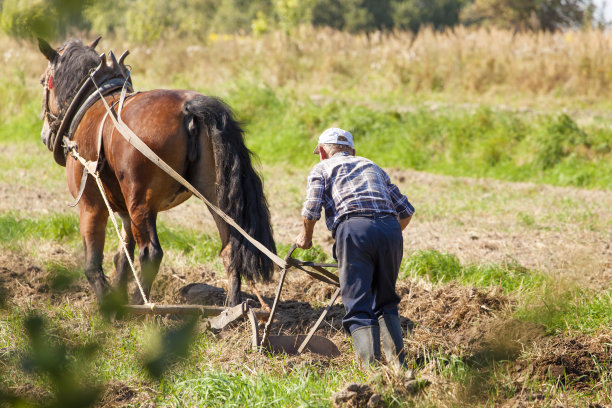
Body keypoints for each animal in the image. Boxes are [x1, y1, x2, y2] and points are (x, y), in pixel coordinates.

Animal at [37, 38, 276, 306]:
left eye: (43, 81)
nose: (45, 133)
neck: (91, 104)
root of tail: (189, 108)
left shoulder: (91, 204)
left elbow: (93, 263)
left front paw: (108, 302)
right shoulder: (124, 211)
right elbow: (123, 257)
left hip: (141, 202)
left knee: (151, 253)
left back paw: (141, 303)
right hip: (215, 198)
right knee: (231, 248)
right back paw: (232, 307)